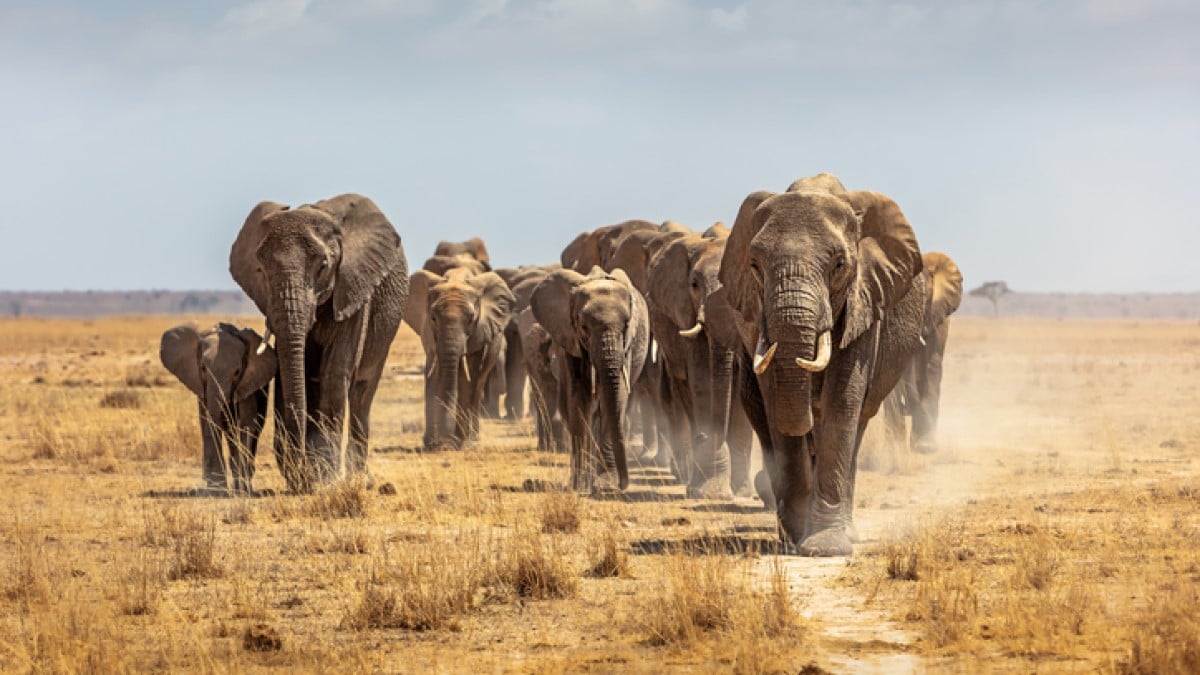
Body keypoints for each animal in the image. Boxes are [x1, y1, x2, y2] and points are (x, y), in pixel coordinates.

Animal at [159, 324, 276, 492]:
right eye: (202, 368)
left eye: (237, 372)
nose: (206, 476)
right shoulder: (200, 385)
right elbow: (207, 422)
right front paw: (217, 488)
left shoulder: (247, 382)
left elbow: (245, 424)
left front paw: (237, 488)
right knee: (231, 434)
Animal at [228, 192, 408, 492]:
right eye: (260, 270)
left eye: (323, 267)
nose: (301, 474)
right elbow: (289, 372)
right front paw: (309, 478)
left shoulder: (354, 290)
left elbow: (334, 373)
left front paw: (327, 479)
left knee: (361, 394)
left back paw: (360, 479)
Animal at [532, 265, 648, 492]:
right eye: (584, 326)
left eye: (626, 325)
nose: (623, 484)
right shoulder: (570, 338)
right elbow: (579, 399)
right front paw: (579, 485)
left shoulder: (627, 347)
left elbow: (617, 398)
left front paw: (606, 483)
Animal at [720, 171, 926, 552]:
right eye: (754, 265)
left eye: (839, 265)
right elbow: (776, 403)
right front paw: (797, 538)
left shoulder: (865, 299)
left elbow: (842, 401)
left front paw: (824, 547)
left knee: (858, 423)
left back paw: (845, 531)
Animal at [883, 251, 964, 451]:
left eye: (923, 297)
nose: (908, 409)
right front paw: (894, 450)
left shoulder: (937, 317)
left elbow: (931, 365)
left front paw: (926, 448)